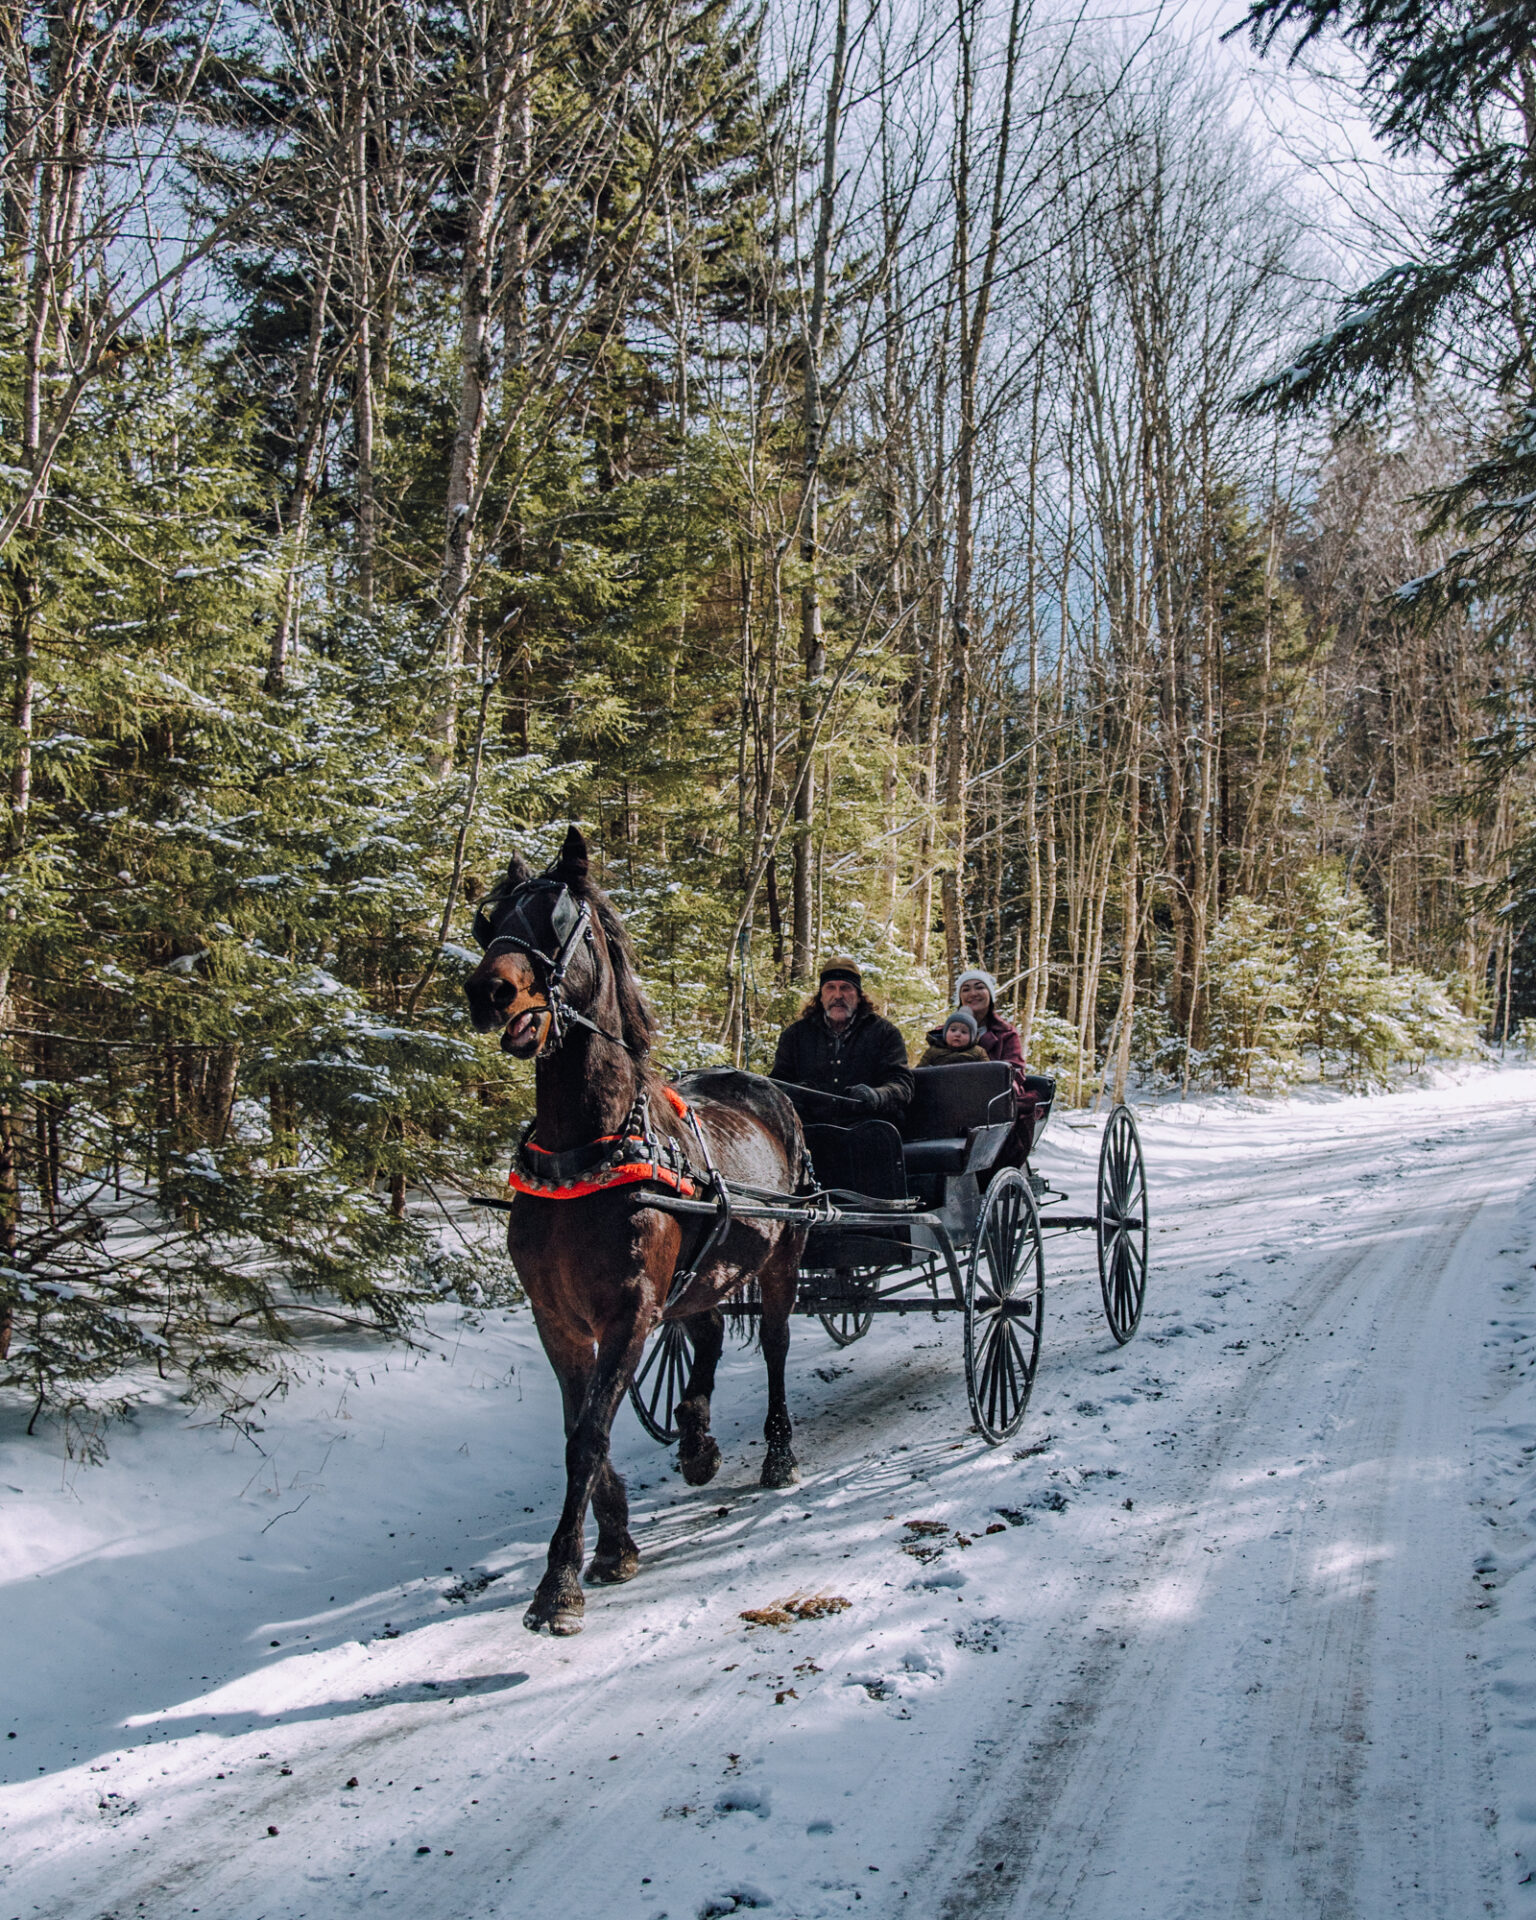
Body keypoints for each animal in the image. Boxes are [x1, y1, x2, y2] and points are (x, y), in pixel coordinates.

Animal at [462, 825, 810, 1635]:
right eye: (488, 922)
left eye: (561, 921)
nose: (489, 991)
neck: (585, 1148)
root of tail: (767, 1086)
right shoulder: (556, 1316)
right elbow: (576, 1429)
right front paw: (616, 1543)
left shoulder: (632, 1310)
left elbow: (590, 1433)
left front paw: (558, 1583)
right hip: (706, 1270)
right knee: (706, 1336)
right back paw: (696, 1441)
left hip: (782, 1257)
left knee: (776, 1343)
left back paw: (776, 1453)